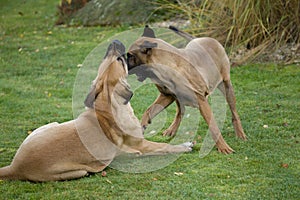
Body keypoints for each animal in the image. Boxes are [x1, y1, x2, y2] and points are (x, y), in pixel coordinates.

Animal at [0, 39, 192, 182]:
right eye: (119, 60)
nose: (114, 41)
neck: (109, 105)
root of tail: (14, 167)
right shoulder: (141, 146)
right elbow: (165, 146)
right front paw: (184, 146)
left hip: (50, 125)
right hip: (76, 171)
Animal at [126, 25, 246, 154]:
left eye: (130, 55)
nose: (120, 61)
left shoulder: (202, 101)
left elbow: (213, 126)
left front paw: (223, 147)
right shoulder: (166, 96)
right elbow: (148, 111)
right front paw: (141, 128)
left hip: (227, 87)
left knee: (234, 113)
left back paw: (240, 133)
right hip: (178, 98)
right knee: (180, 112)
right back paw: (172, 129)